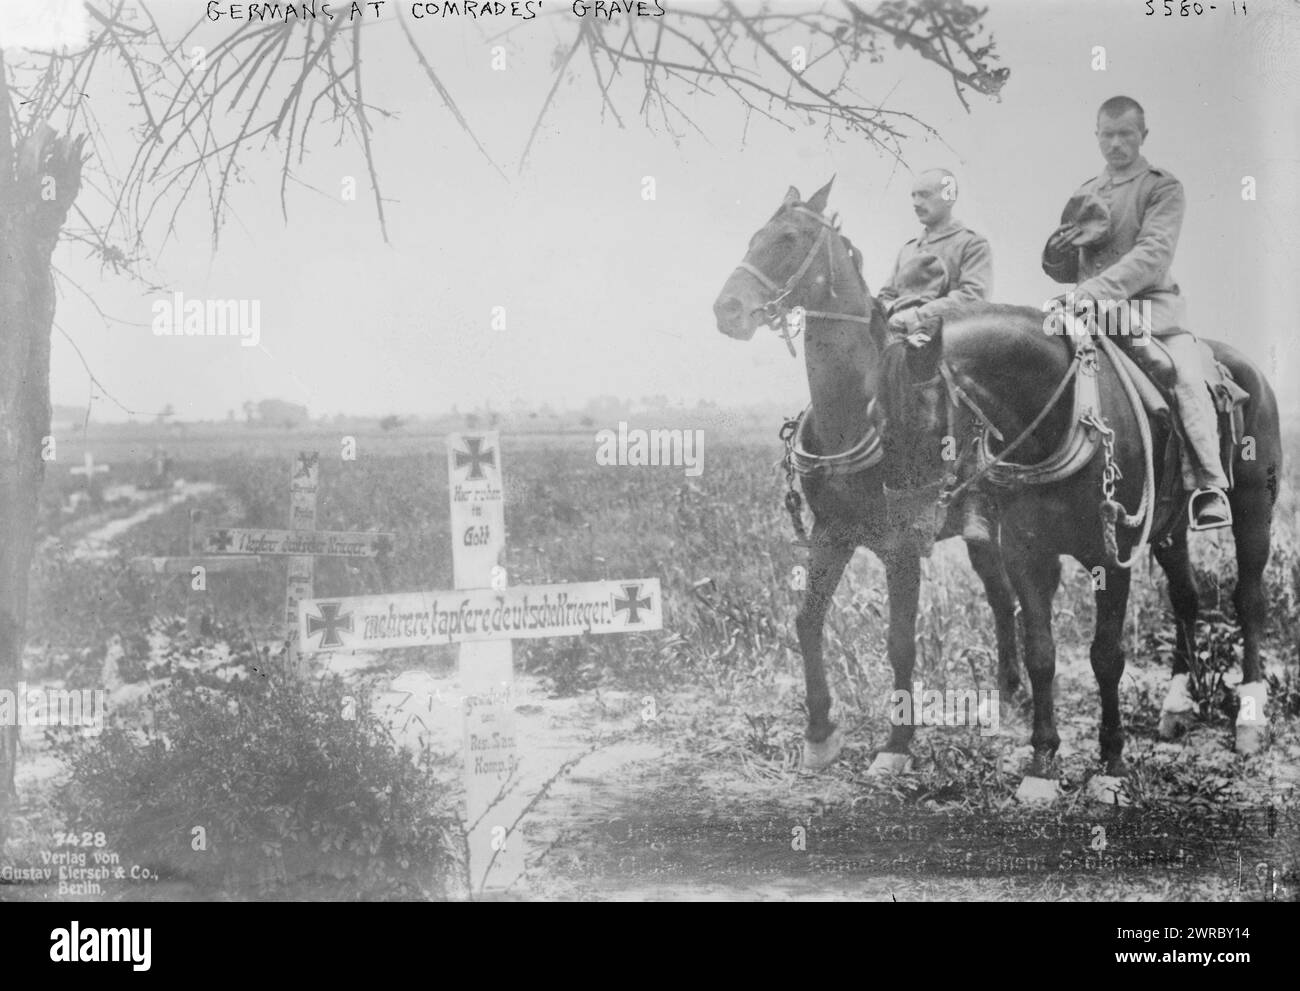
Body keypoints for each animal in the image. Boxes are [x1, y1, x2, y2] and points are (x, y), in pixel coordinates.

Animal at [717, 179, 1284, 795]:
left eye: (789, 238)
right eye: (754, 235)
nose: (727, 310)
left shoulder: (905, 551)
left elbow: (905, 640)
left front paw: (897, 747)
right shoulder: (835, 532)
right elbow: (808, 621)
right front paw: (821, 736)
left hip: (1251, 512)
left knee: (1248, 599)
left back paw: (1249, 718)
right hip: (1154, 529)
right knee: (1175, 596)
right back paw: (1160, 705)